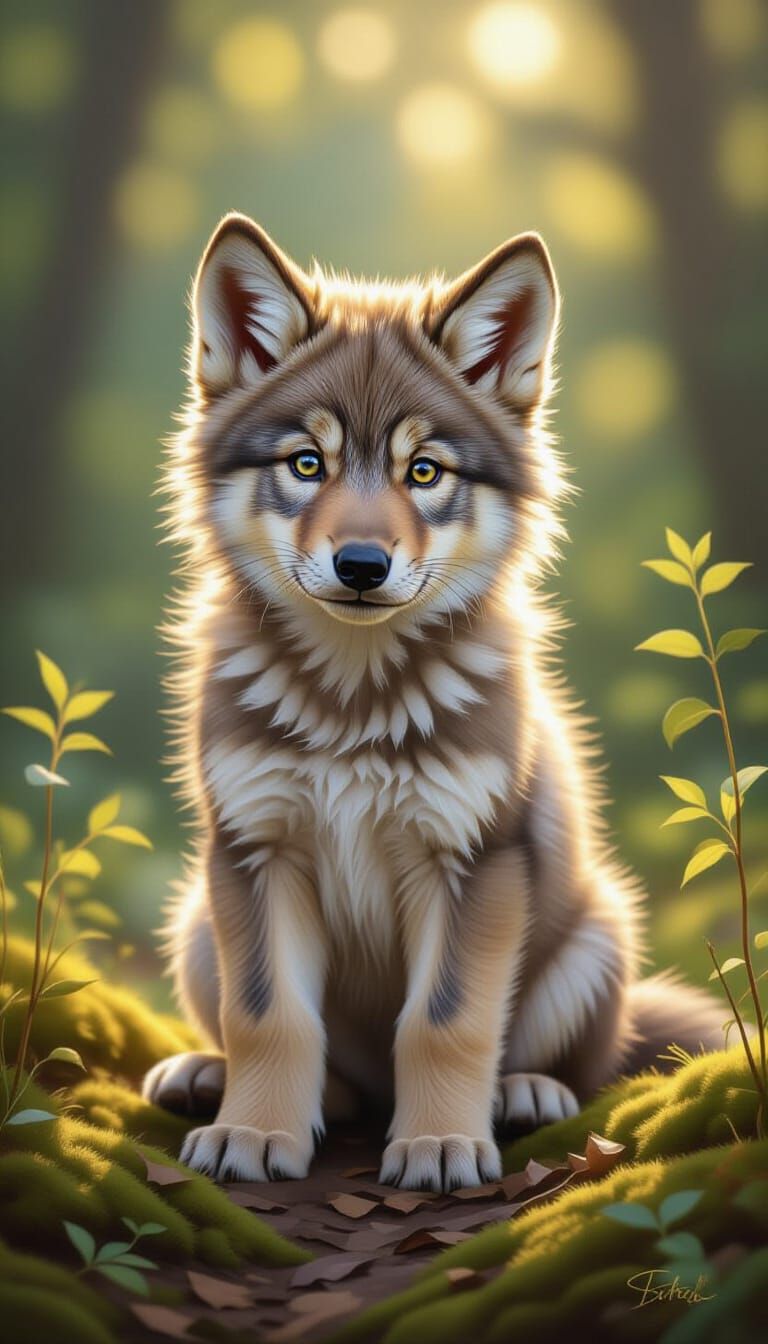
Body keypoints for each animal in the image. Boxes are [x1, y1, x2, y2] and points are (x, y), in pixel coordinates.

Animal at [143, 214, 722, 1191]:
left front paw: (440, 1145)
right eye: (307, 463)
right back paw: (212, 1077)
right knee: (315, 1066)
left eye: (423, 472)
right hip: (193, 916)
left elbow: (444, 1022)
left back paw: (524, 1093)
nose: (361, 566)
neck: (351, 701)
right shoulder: (254, 849)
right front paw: (255, 1131)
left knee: (579, 1060)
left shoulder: (475, 859)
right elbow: (269, 1015)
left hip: (598, 932)